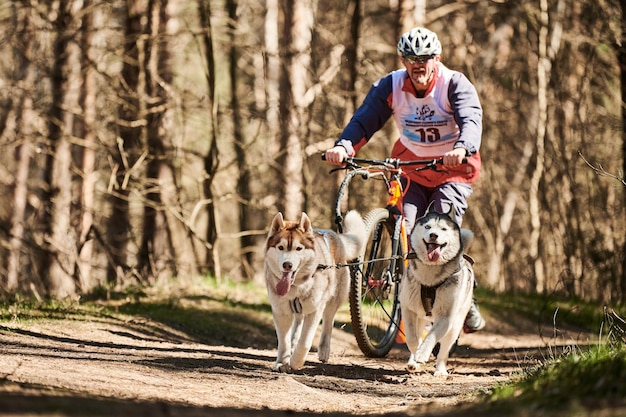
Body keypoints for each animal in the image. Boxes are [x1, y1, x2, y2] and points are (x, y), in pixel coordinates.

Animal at [400, 203, 472, 376]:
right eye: (428, 226)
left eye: (444, 229)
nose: (433, 235)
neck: (430, 276)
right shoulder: (408, 308)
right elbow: (412, 338)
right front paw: (415, 354)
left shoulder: (446, 317)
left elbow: (432, 336)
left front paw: (422, 353)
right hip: (420, 316)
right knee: (419, 331)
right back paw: (413, 363)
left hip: (455, 326)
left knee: (443, 351)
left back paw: (440, 370)